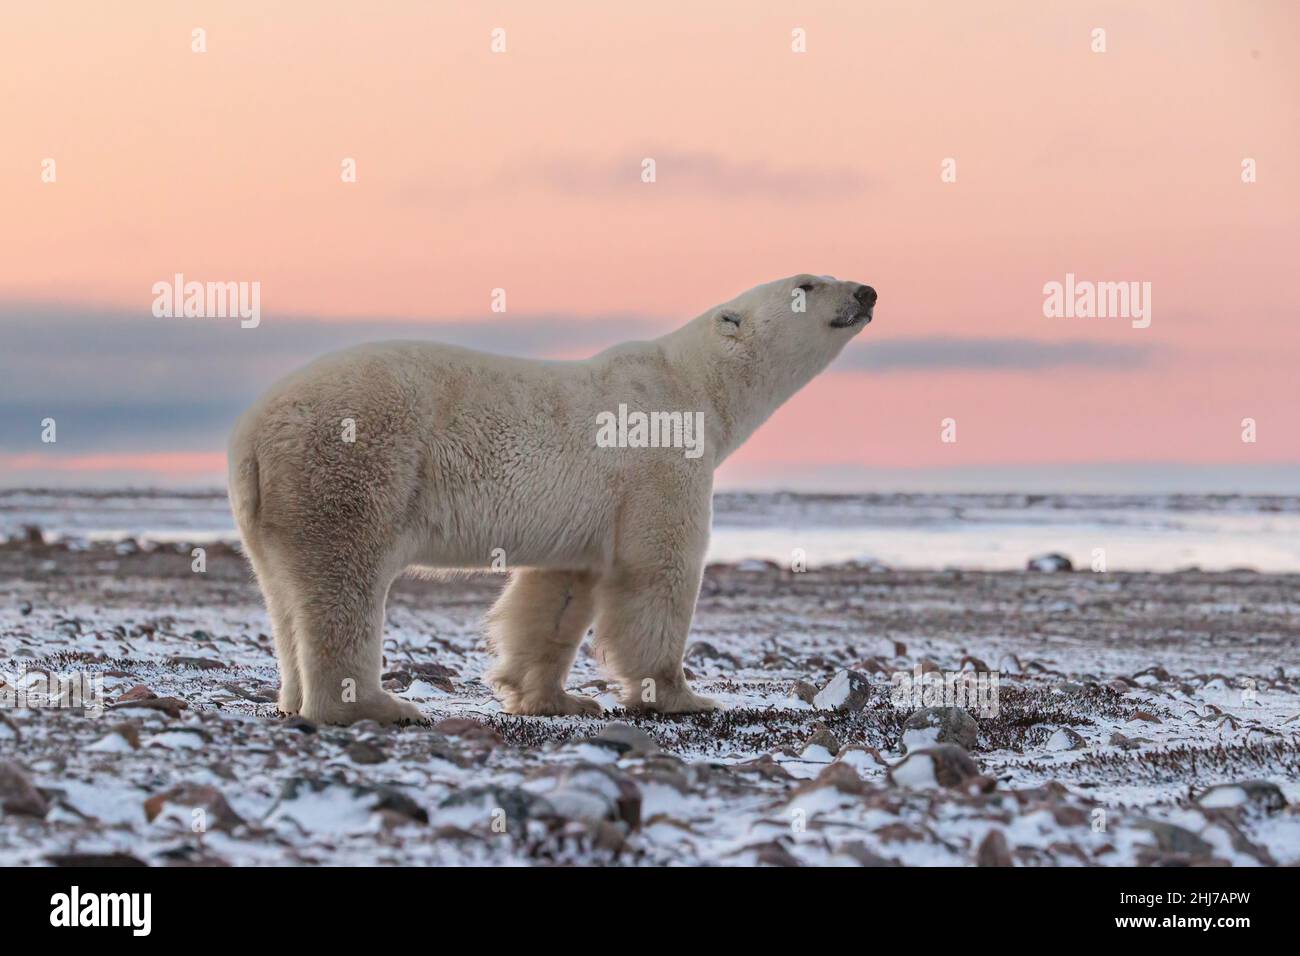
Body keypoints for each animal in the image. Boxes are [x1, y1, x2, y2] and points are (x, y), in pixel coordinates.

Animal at [227, 274, 877, 724]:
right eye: (807, 283)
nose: (866, 291)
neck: (691, 385)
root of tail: (250, 433)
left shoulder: (587, 513)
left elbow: (558, 594)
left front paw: (551, 698)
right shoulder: (657, 466)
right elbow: (658, 573)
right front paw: (681, 695)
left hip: (272, 507)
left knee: (284, 592)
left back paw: (293, 698)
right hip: (354, 461)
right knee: (344, 579)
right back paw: (375, 705)